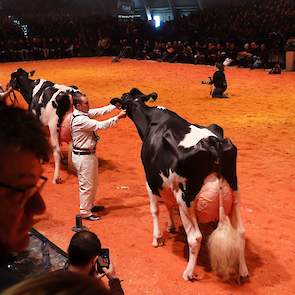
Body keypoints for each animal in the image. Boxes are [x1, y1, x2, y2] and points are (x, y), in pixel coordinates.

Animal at [111, 89, 250, 284]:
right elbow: (168, 204)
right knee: (241, 232)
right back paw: (243, 270)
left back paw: (188, 273)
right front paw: (171, 226)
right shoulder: (167, 182)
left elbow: (155, 210)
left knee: (195, 238)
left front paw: (157, 238)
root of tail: (213, 144)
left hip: (185, 199)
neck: (152, 120)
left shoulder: (150, 179)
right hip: (234, 191)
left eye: (124, 100)